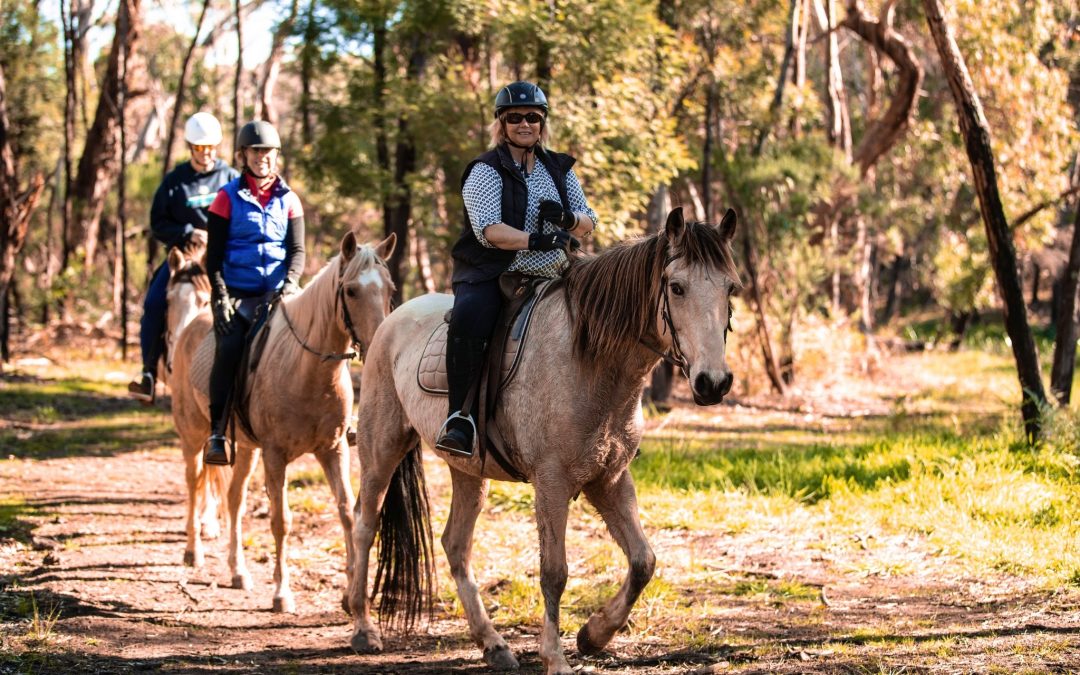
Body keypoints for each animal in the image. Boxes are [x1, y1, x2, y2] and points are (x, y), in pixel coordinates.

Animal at [171, 231, 397, 609]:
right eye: (351, 291)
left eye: (390, 289)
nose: (380, 341)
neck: (308, 370)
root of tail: (192, 324)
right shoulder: (276, 456)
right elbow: (281, 521)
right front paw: (282, 593)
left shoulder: (334, 450)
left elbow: (346, 512)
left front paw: (349, 593)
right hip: (193, 433)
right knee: (194, 481)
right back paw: (193, 552)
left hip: (247, 449)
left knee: (234, 499)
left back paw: (238, 571)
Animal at [349, 208, 738, 669]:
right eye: (676, 287)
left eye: (730, 288)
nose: (713, 382)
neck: (590, 360)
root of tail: (390, 321)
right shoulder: (551, 483)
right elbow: (555, 571)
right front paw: (556, 656)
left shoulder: (609, 480)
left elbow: (644, 561)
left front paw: (593, 635)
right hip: (381, 450)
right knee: (364, 524)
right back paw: (362, 627)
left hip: (467, 470)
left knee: (455, 545)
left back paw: (493, 644)